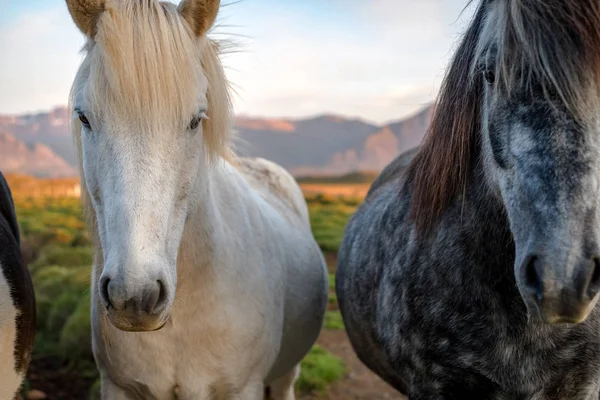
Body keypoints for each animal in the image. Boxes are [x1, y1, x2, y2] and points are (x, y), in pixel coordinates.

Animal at [67, 0, 328, 396]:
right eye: (84, 117)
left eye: (196, 120)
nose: (135, 297)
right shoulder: (117, 386)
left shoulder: (243, 389)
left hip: (288, 371)